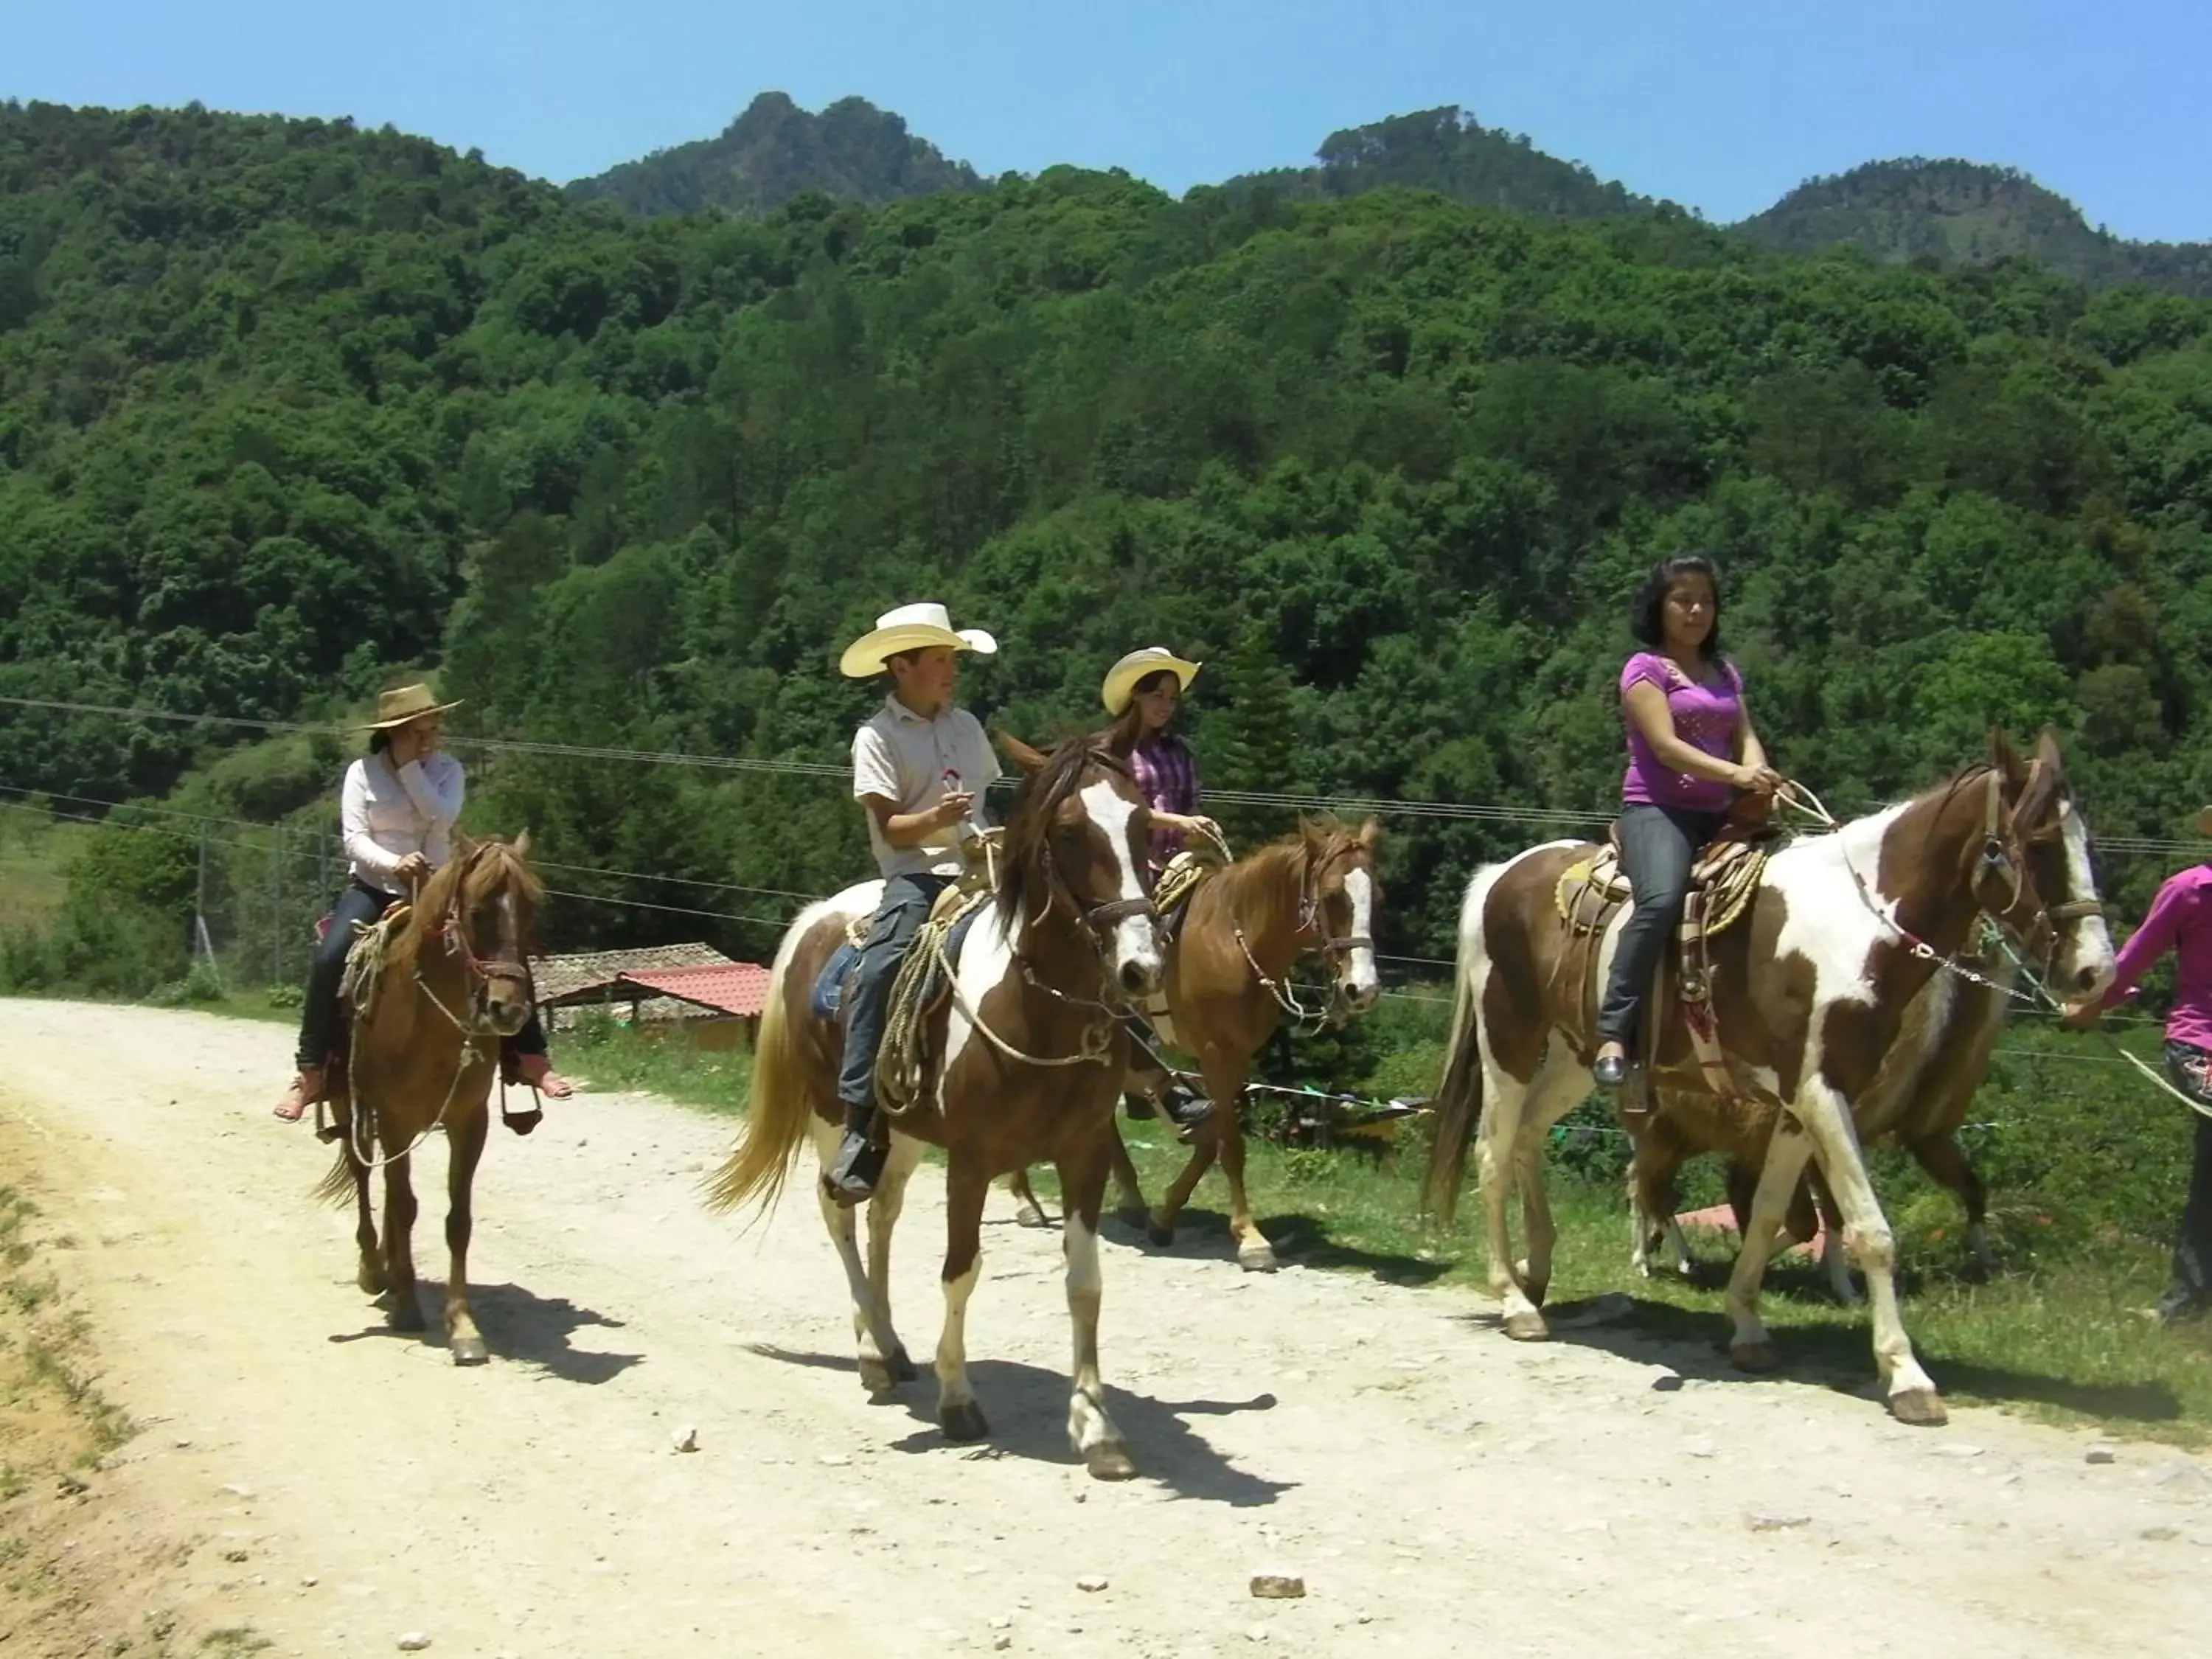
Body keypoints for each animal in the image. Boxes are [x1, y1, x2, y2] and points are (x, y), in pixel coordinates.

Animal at [310, 836, 546, 1371]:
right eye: (477, 912)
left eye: (531, 911)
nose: (509, 1009)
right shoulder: (395, 1117)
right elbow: (404, 1206)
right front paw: (406, 1305)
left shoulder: (469, 1122)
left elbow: (457, 1220)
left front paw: (463, 1327)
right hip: (348, 1104)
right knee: (364, 1176)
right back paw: (375, 1269)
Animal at [708, 739, 1168, 1478]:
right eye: (1069, 831)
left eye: (1142, 821)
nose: (1141, 968)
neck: (1037, 1010)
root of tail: (817, 917)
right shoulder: (972, 1161)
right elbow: (961, 1270)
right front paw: (958, 1401)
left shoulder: (1086, 1150)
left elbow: (1085, 1281)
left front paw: (1099, 1428)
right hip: (833, 1115)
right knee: (838, 1212)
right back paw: (873, 1355)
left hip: (899, 1134)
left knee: (882, 1216)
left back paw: (890, 1342)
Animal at [1009, 818, 1380, 1274]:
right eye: (1331, 897)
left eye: (1377, 897)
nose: (1362, 989)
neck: (1235, 941)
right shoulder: (1215, 1052)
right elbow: (1231, 1147)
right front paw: (1251, 1239)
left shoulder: (1235, 1058)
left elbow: (1211, 1139)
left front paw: (1164, 1217)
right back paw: (1026, 1200)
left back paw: (1131, 1200)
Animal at [1425, 734, 2115, 1433]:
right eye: (2037, 841)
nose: (2096, 973)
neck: (1855, 929)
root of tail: (1500, 876)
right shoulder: (1822, 1093)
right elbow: (1871, 1231)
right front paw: (1906, 1376)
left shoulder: (1798, 1104)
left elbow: (1767, 1213)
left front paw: (1748, 1325)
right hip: (1509, 1038)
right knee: (1493, 1152)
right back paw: (1514, 1302)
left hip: (1575, 1055)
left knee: (1530, 1135)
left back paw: (1535, 1271)